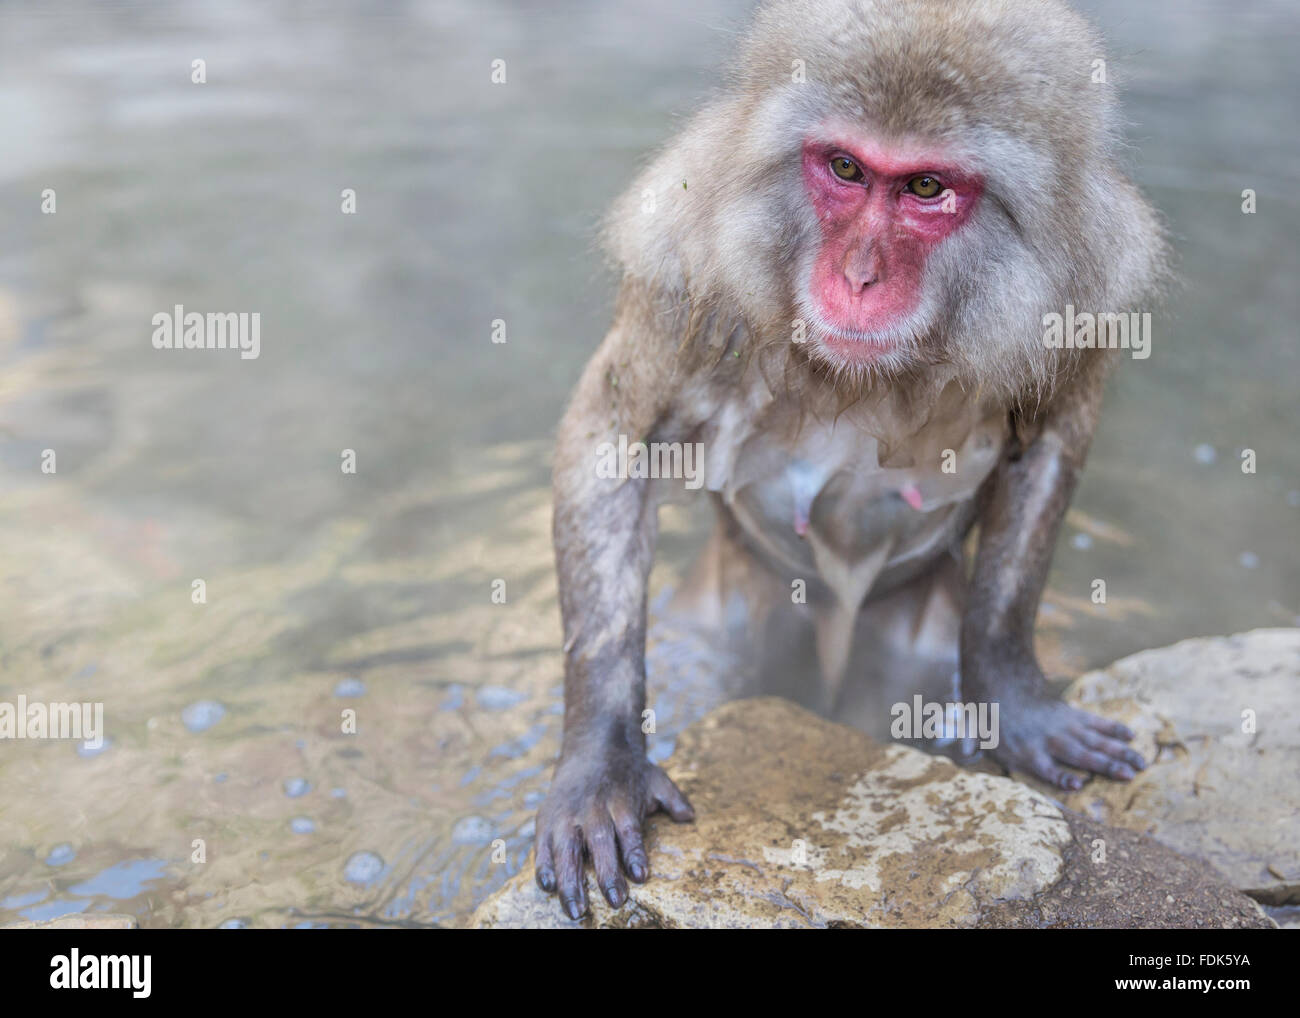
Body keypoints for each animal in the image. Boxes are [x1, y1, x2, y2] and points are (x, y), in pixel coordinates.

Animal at [533, 0, 1164, 925]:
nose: (858, 276)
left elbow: (1052, 440)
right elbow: (613, 435)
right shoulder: (686, 257)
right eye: (844, 168)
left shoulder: (1087, 287)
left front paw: (1012, 693)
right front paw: (601, 760)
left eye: (926, 188)